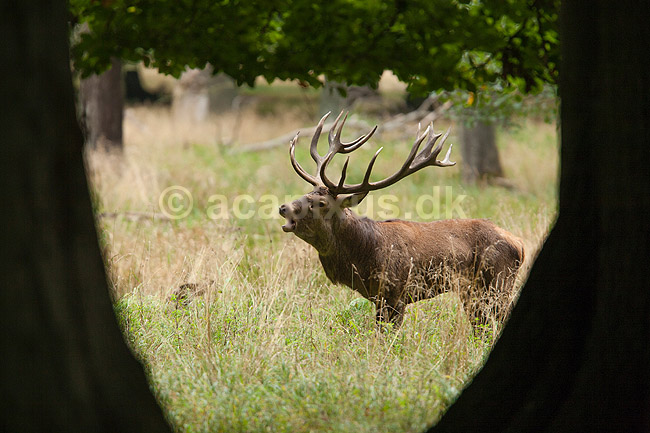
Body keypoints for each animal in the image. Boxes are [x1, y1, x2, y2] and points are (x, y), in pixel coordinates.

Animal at [279, 111, 524, 334]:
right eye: (306, 193)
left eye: (321, 203)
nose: (284, 208)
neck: (363, 254)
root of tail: (520, 245)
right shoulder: (378, 296)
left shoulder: (396, 292)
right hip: (473, 291)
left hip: (498, 282)